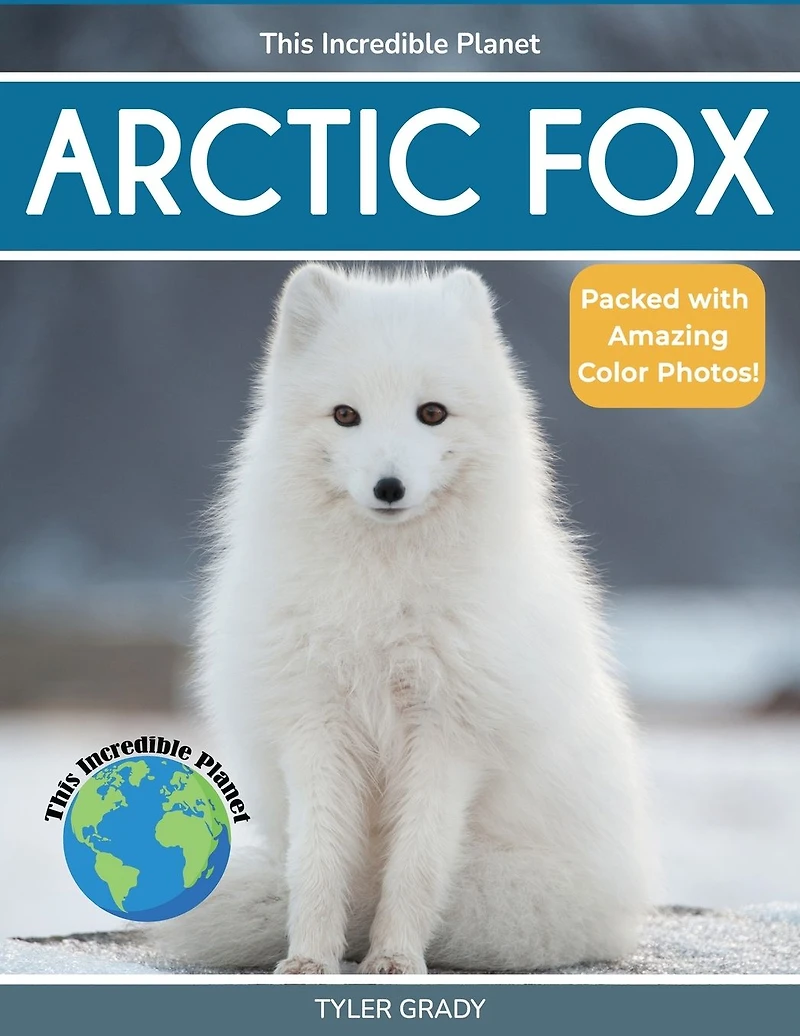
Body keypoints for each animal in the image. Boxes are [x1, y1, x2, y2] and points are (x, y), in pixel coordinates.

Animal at [156, 264, 652, 974]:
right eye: (346, 415)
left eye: (432, 413)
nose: (388, 488)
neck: (380, 597)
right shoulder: (315, 724)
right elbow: (315, 863)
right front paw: (309, 959)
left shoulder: (448, 734)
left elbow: (415, 866)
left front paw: (392, 957)